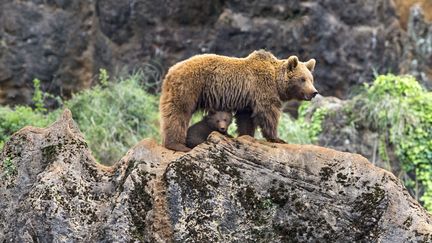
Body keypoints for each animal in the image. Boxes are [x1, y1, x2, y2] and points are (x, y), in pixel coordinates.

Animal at [159, 49, 318, 152]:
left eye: (311, 79)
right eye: (302, 79)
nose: (314, 92)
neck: (276, 82)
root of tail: (171, 70)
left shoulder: (248, 99)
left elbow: (246, 118)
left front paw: (246, 135)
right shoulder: (262, 87)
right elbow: (268, 112)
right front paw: (278, 138)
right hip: (190, 86)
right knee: (179, 112)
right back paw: (177, 145)